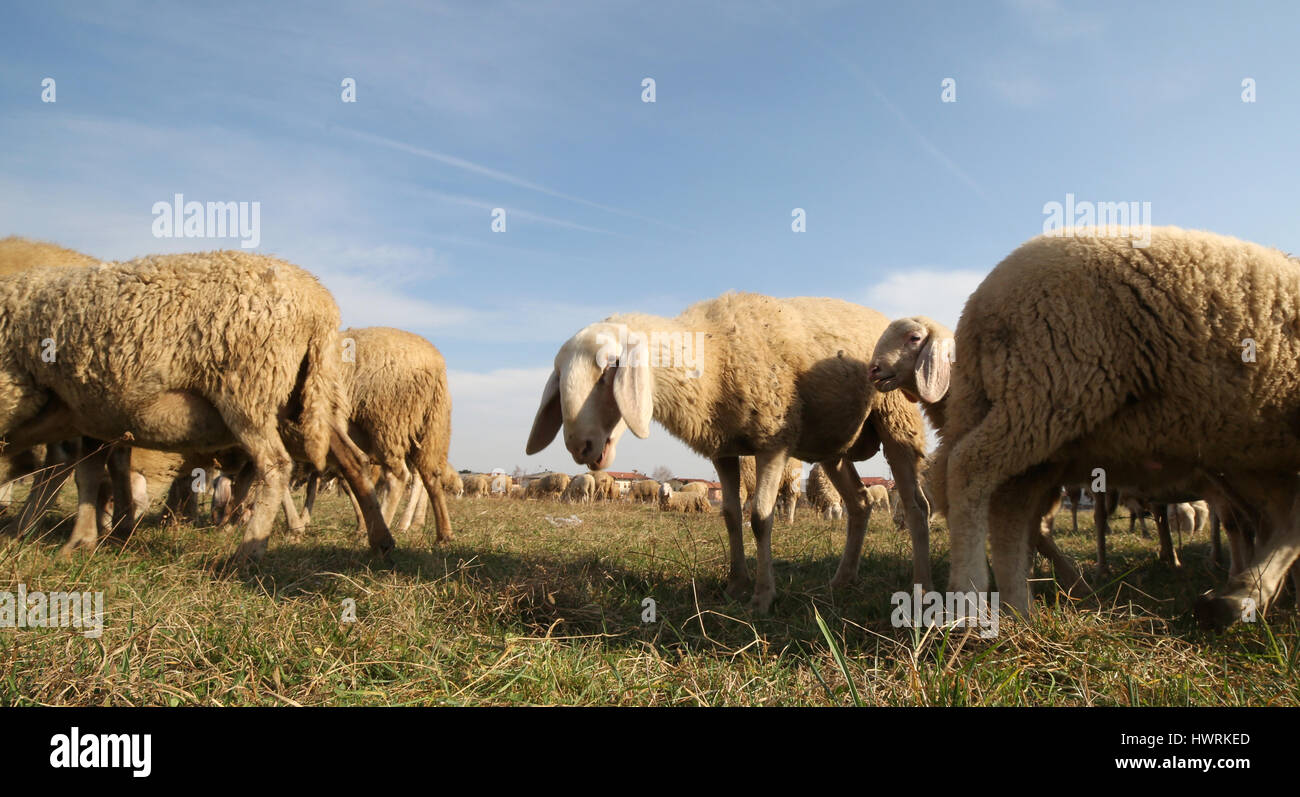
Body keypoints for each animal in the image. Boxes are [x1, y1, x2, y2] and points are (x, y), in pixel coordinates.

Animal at [1, 248, 395, 559]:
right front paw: (89, 539)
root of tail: (321, 307)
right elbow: (91, 474)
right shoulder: (94, 413)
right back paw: (380, 539)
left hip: (248, 389)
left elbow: (82, 473)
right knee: (353, 460)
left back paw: (249, 551)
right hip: (303, 399)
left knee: (275, 465)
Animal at [522, 291, 941, 608]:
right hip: (834, 446)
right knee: (860, 503)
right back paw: (842, 580)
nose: (579, 446)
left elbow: (760, 517)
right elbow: (730, 517)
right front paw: (735, 585)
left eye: (610, 367)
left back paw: (921, 588)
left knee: (916, 507)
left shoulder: (773, 440)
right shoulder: (722, 448)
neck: (711, 352)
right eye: (559, 375)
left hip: (895, 420)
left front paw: (763, 596)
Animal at [930, 223, 1300, 621]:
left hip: (1035, 421)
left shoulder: (1257, 459)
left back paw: (1019, 607)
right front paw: (1244, 593)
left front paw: (1247, 593)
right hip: (1048, 385)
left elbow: (1282, 520)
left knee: (1010, 505)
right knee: (970, 468)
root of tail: (979, 303)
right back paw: (967, 600)